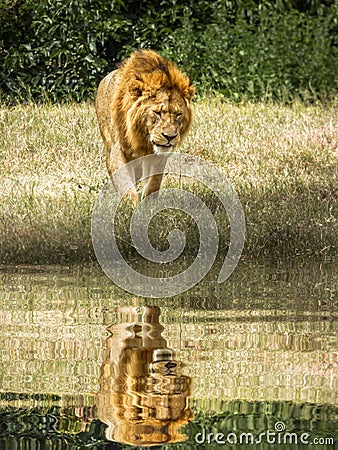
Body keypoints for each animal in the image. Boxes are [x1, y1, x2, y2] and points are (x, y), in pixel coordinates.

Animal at [95, 48, 195, 204]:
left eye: (178, 114)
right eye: (158, 113)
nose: (170, 137)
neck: (142, 140)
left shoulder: (158, 156)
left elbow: (154, 182)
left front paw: (149, 204)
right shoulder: (116, 150)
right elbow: (125, 183)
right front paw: (131, 205)